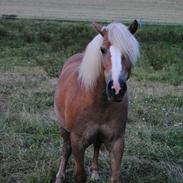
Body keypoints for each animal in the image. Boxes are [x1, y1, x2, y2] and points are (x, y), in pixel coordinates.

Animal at [54, 20, 140, 183]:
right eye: (102, 49)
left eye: (129, 51)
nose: (116, 89)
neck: (97, 102)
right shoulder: (77, 141)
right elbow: (79, 174)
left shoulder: (117, 141)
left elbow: (115, 176)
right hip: (64, 128)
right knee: (66, 148)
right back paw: (60, 175)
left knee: (96, 145)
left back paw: (95, 172)